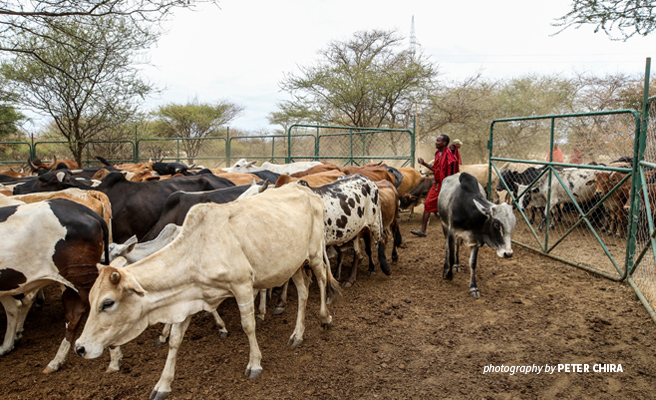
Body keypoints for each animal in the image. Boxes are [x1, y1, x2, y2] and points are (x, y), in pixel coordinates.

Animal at [75, 184, 340, 400]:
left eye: (107, 303)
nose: (80, 348)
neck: (197, 250)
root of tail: (307, 191)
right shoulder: (189, 299)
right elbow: (175, 340)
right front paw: (163, 384)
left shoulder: (242, 285)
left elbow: (248, 326)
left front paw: (254, 363)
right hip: (291, 264)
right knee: (303, 291)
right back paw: (297, 334)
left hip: (314, 254)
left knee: (321, 280)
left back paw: (325, 317)